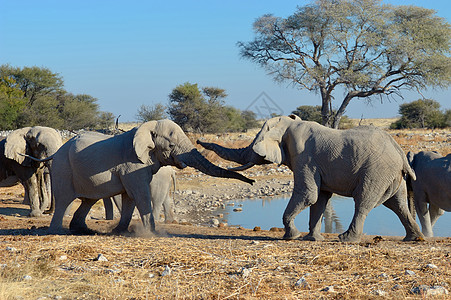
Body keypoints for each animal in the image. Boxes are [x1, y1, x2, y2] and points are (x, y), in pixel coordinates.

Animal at [49, 118, 254, 234]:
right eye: (171, 145)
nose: (252, 181)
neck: (146, 128)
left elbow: (130, 197)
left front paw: (120, 231)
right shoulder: (131, 163)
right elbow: (139, 194)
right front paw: (150, 232)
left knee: (88, 201)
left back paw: (82, 229)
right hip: (62, 167)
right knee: (65, 199)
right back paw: (58, 230)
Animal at [198, 113, 424, 243]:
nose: (199, 141)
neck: (289, 125)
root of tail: (399, 151)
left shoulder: (304, 157)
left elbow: (308, 195)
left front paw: (291, 237)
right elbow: (319, 199)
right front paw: (312, 239)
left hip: (376, 171)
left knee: (363, 202)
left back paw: (346, 239)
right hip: (390, 174)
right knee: (397, 204)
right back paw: (413, 239)